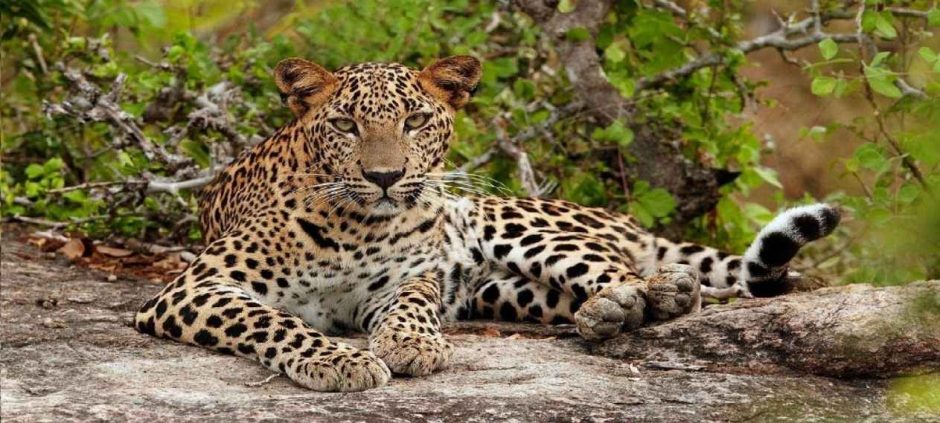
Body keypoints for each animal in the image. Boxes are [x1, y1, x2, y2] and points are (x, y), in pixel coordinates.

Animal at [134, 56, 841, 392]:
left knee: (629, 271)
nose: (386, 177)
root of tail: (614, 215)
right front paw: (340, 359)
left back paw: (654, 293)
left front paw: (409, 344)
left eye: (416, 120)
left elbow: (410, 304)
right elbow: (271, 319)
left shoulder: (408, 277)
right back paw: (610, 314)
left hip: (512, 222)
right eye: (346, 125)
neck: (357, 225)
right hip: (503, 290)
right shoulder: (194, 287)